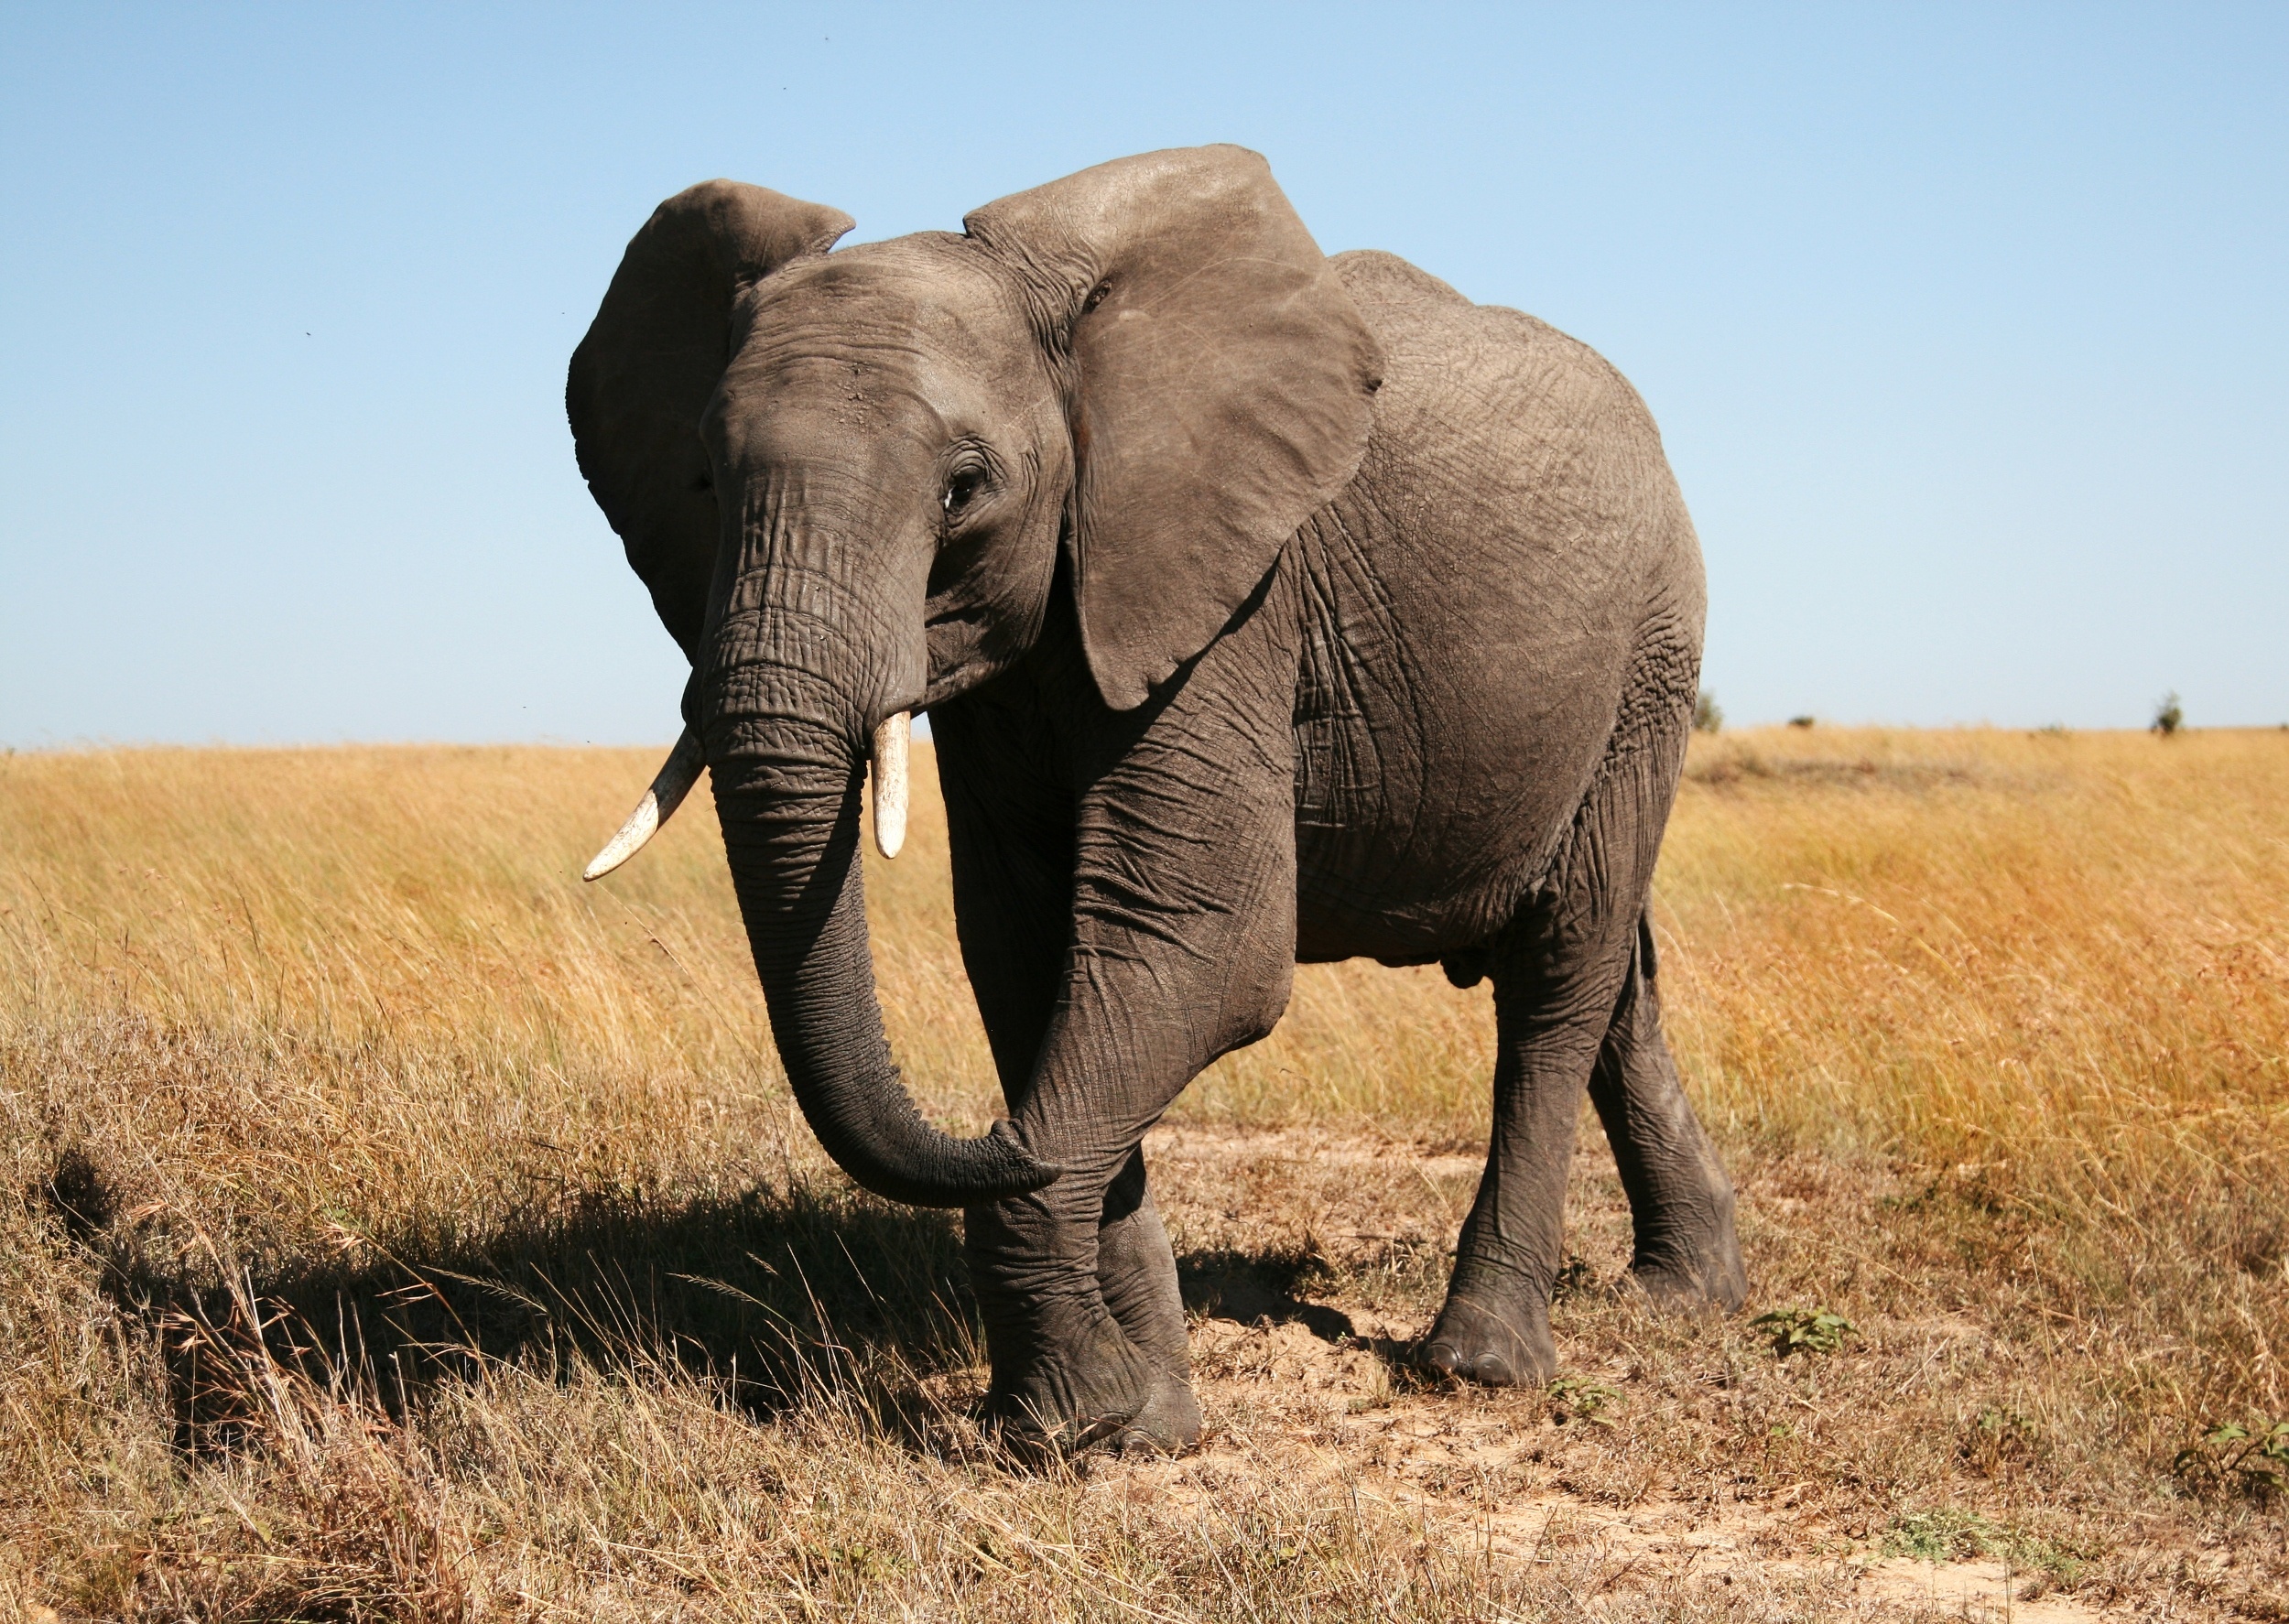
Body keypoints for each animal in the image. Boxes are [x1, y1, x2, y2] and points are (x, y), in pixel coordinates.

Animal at [566, 145, 1745, 1456]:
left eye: (963, 489)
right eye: (706, 482)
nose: (986, 1140)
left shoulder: (1230, 607)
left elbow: (1195, 953)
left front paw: (1067, 1422)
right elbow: (1031, 959)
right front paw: (1132, 1426)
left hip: (1647, 655)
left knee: (1559, 966)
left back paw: (1480, 1363)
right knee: (1617, 973)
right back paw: (1686, 1295)